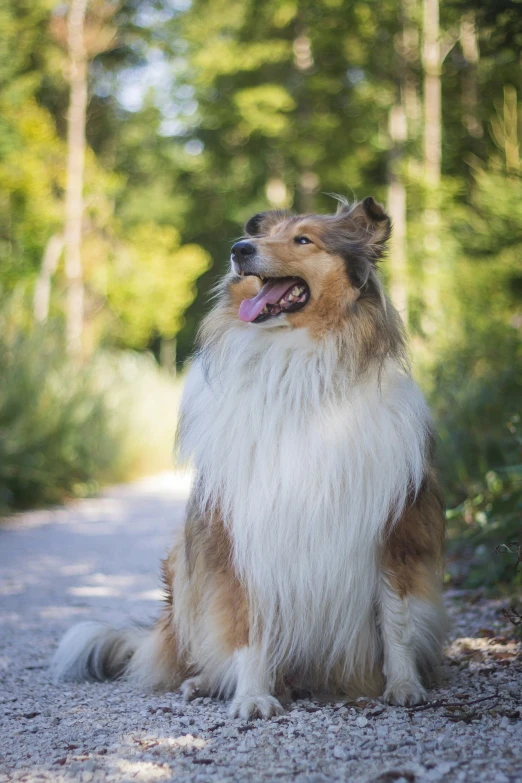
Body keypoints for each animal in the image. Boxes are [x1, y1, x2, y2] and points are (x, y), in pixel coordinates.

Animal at [52, 196, 446, 716]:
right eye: (261, 235)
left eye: (304, 239)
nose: (240, 249)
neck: (298, 373)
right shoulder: (240, 530)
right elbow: (247, 622)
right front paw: (253, 696)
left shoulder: (395, 529)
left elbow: (397, 619)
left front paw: (403, 685)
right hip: (185, 564)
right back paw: (205, 681)